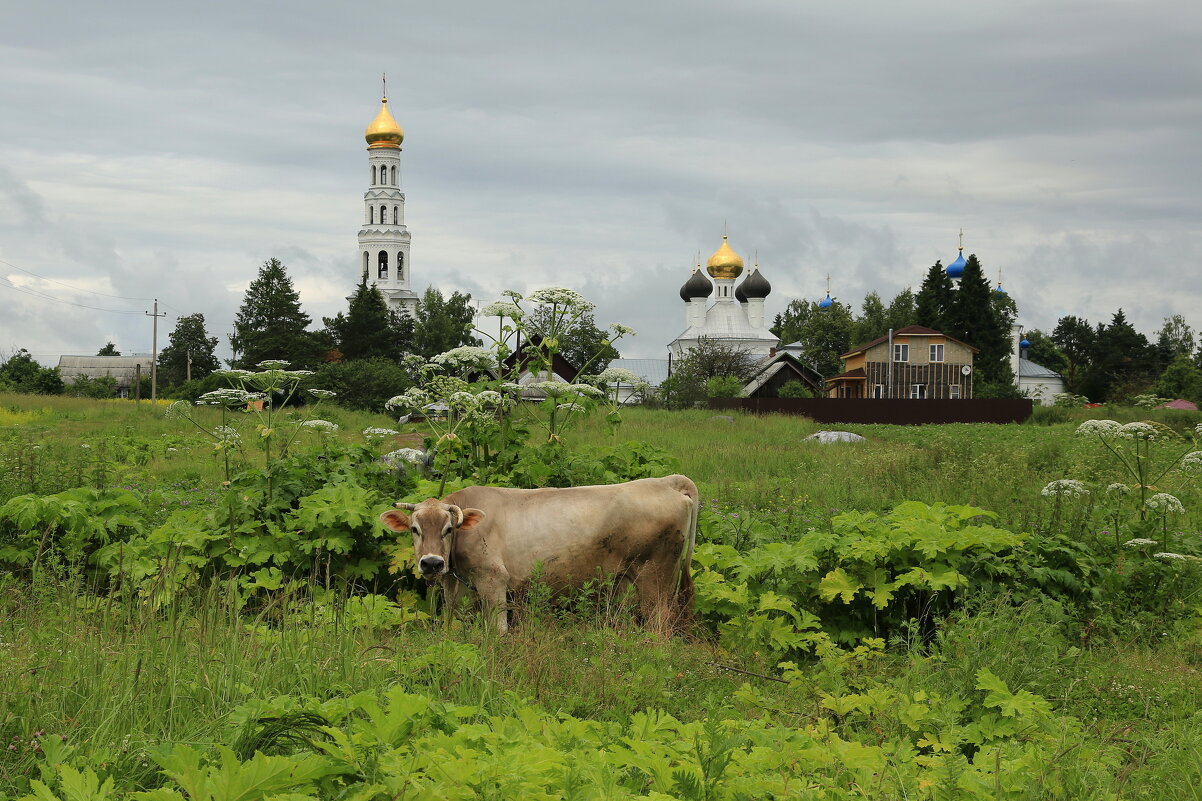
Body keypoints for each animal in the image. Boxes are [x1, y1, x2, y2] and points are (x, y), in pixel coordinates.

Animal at [375, 473, 697, 630]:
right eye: (414, 529)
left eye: (448, 529)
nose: (431, 563)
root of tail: (667, 481)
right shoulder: (457, 585)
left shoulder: (493, 579)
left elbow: (498, 629)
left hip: (655, 577)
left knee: (660, 621)